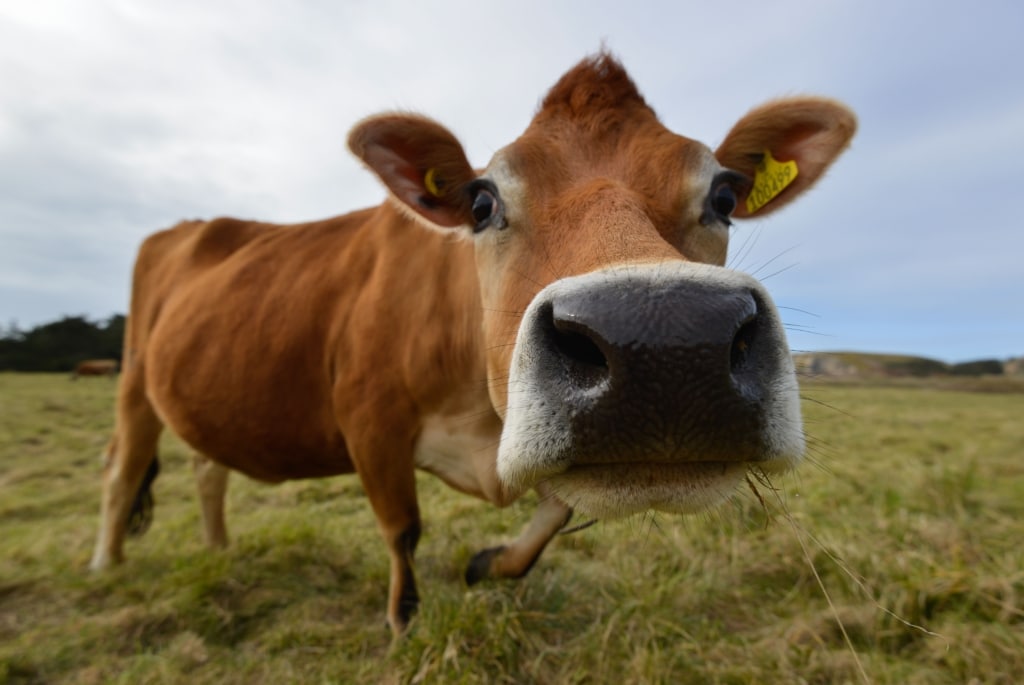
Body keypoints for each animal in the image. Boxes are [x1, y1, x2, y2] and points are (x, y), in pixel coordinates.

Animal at [90, 50, 856, 634]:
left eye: (724, 196)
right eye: (483, 201)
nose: (666, 345)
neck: (482, 424)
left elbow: (556, 510)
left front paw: (490, 564)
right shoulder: (369, 420)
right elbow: (402, 529)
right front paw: (404, 623)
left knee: (207, 469)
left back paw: (219, 551)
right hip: (133, 382)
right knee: (122, 472)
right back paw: (105, 565)